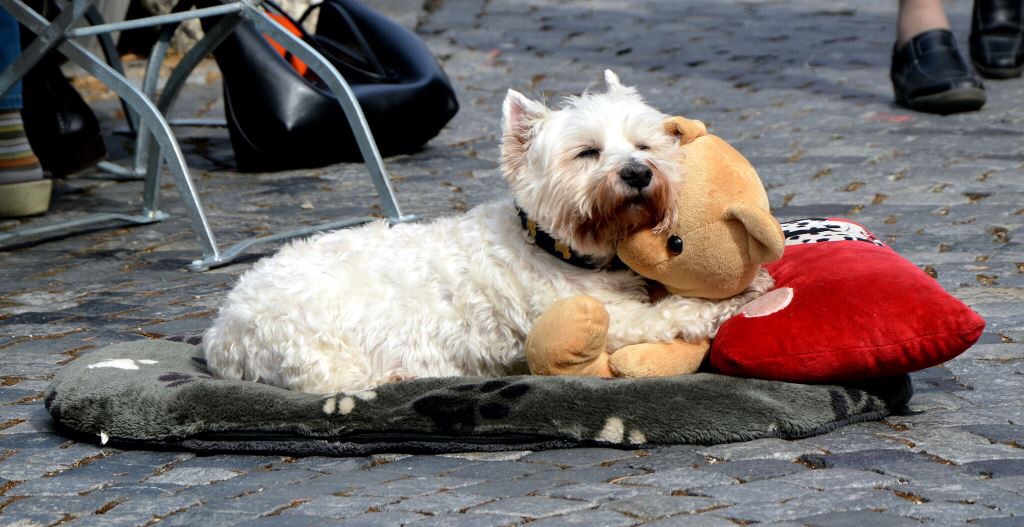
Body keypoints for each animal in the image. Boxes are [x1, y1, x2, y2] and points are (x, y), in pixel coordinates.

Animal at [205, 70, 770, 392]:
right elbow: (666, 315)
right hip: (312, 340)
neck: (553, 247)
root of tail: (221, 330)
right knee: (325, 382)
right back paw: (396, 377)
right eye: (587, 152)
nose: (636, 173)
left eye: (645, 146)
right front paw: (735, 299)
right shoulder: (597, 316)